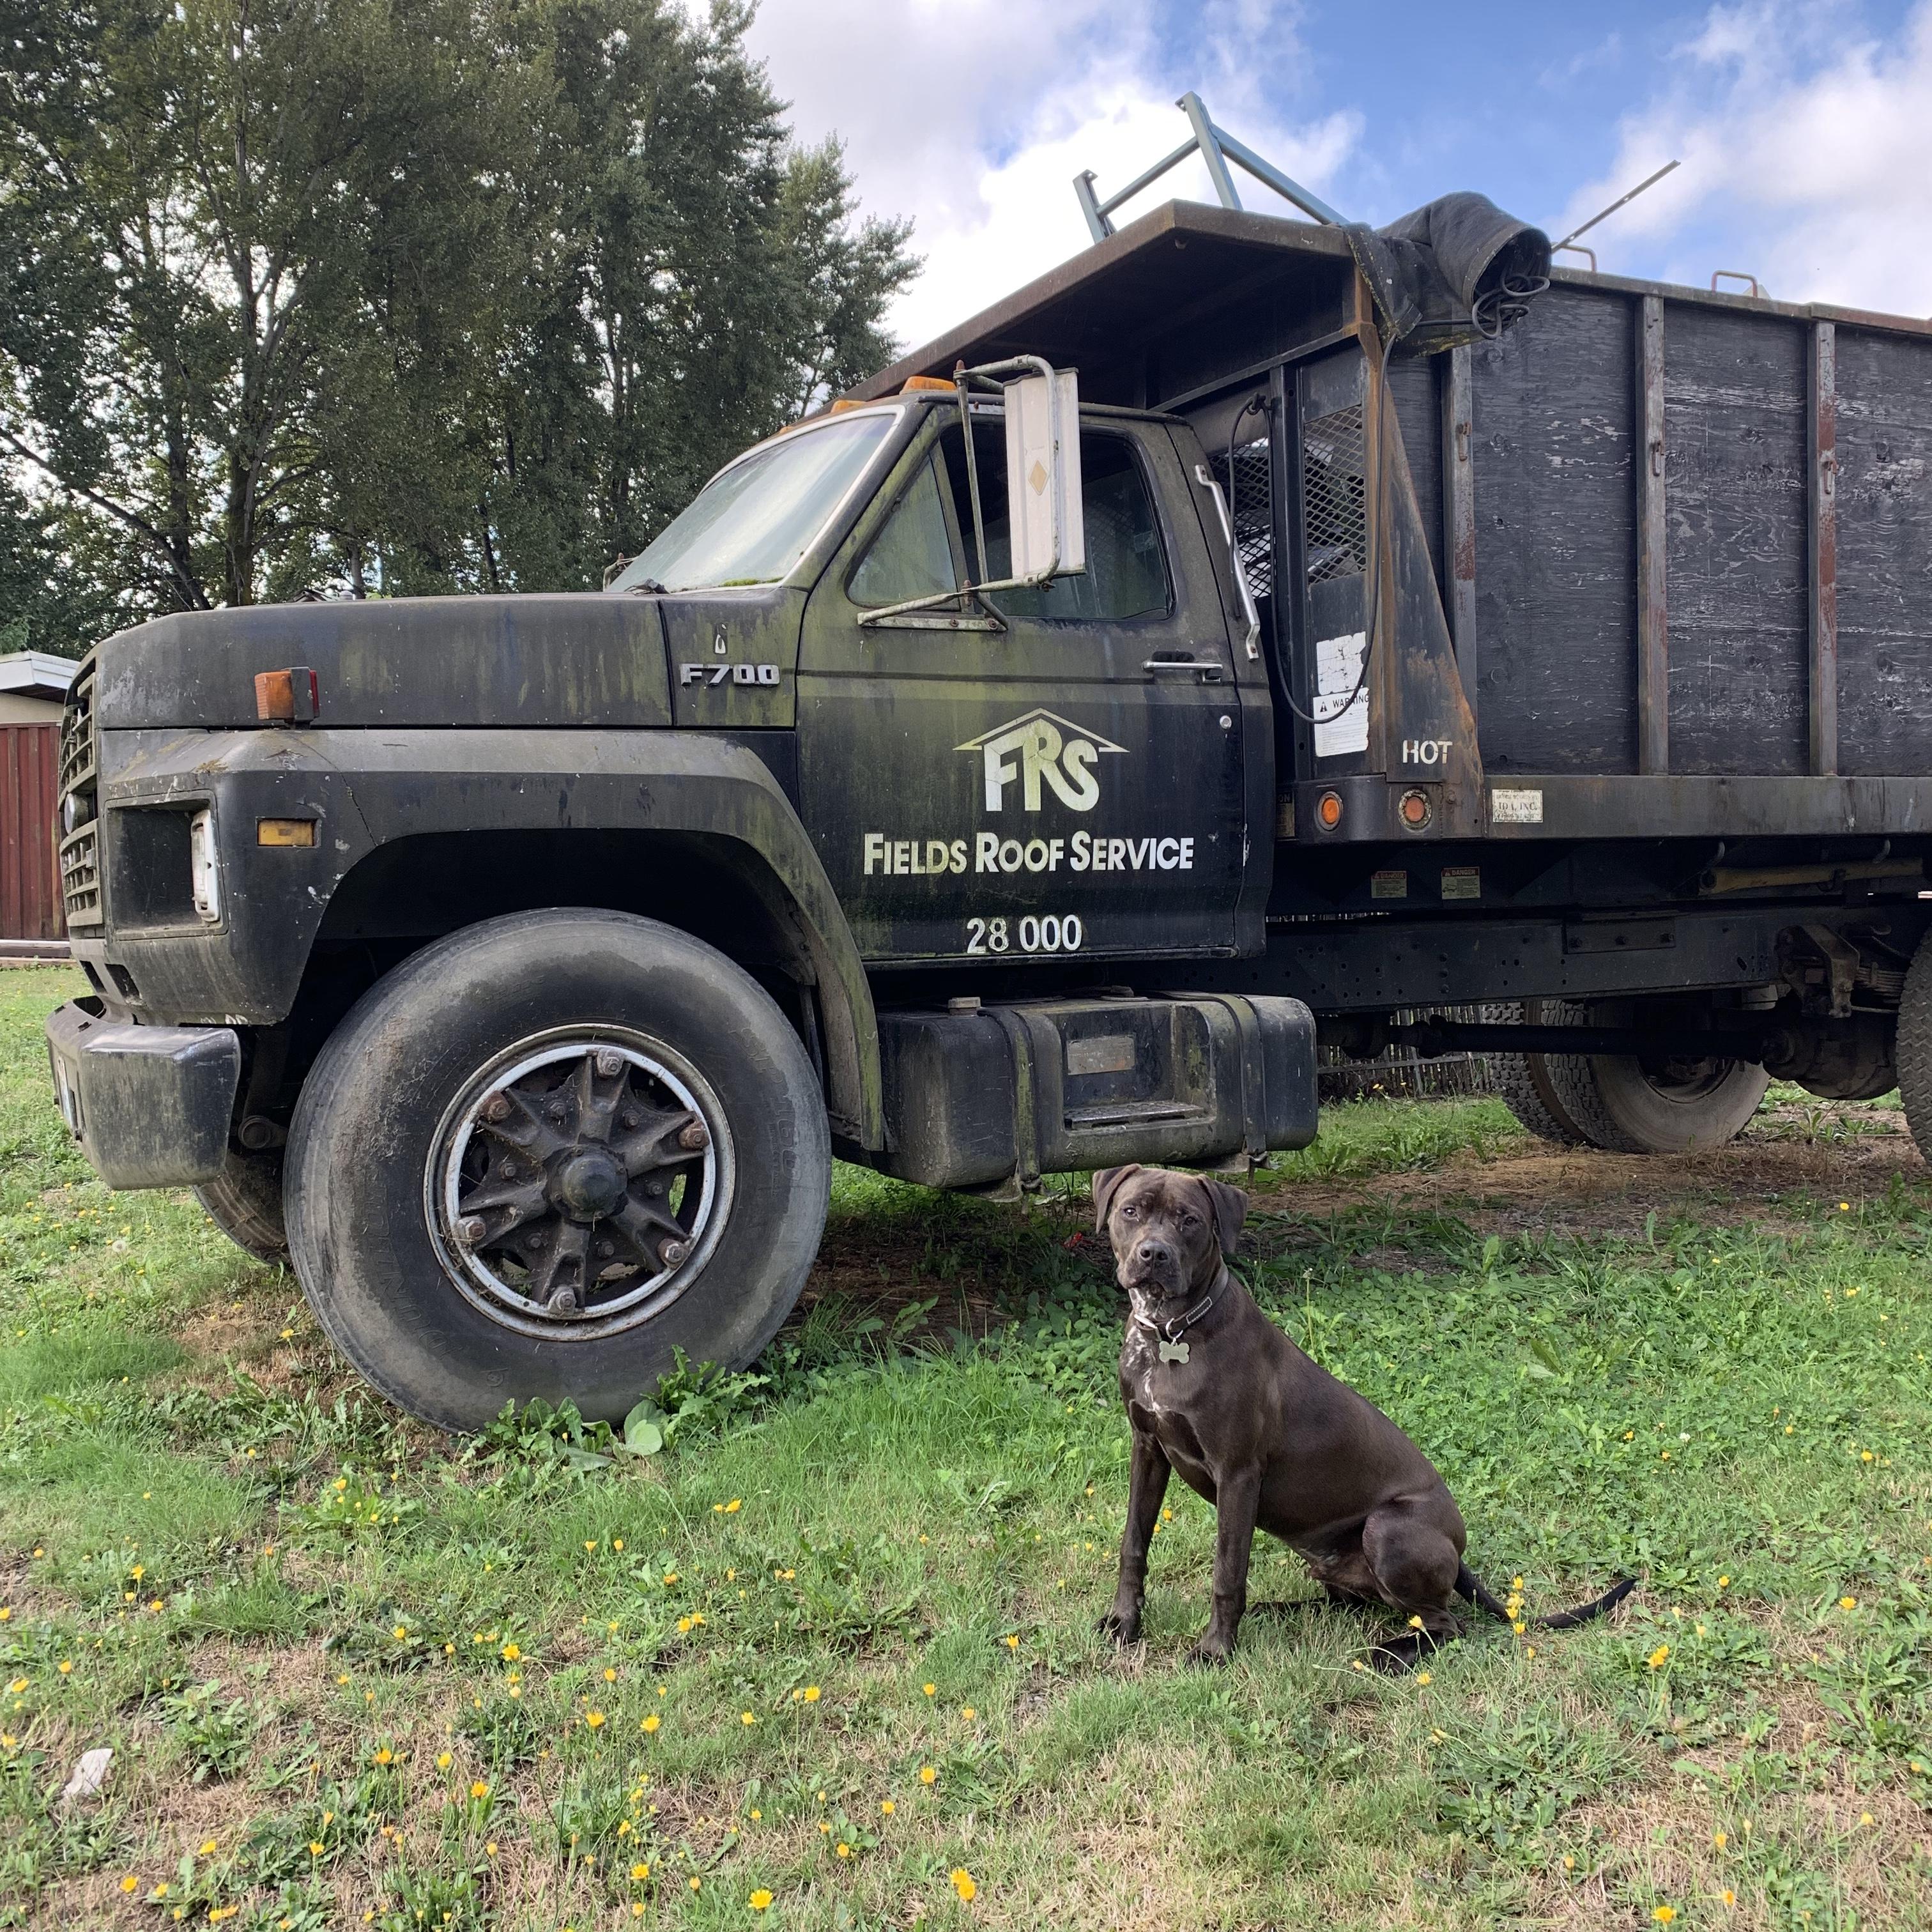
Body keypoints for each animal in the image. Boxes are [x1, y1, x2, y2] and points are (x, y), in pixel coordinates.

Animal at [1089, 1159, 1630, 1676]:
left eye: (1190, 1220)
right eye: (1131, 1211)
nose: (1153, 1254)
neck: (1170, 1334)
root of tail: (1458, 1554)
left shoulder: (1237, 1473)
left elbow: (1227, 1572)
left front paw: (1216, 1650)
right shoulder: (1148, 1449)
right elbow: (1133, 1544)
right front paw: (1123, 1622)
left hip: (1388, 1531)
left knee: (1446, 1625)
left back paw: (1386, 1656)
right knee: (1349, 1605)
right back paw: (1279, 1611)